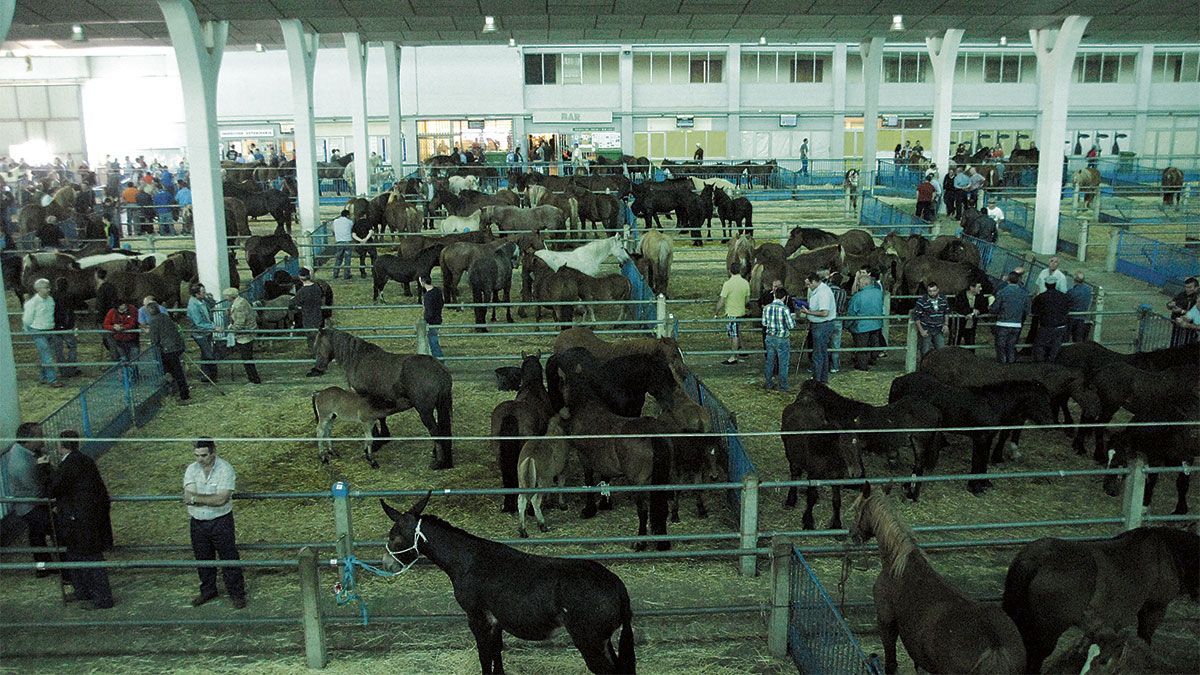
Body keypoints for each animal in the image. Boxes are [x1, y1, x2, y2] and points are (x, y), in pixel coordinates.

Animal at [312, 326, 451, 468]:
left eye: (318, 345)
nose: (318, 368)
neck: (359, 358)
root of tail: (440, 370)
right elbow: (382, 418)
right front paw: (383, 437)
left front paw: (374, 446)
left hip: (424, 411)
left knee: (434, 431)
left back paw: (438, 462)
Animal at [381, 492, 638, 667]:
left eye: (394, 538)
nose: (385, 564)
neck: (466, 560)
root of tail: (618, 588)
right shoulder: (495, 621)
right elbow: (497, 656)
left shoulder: (477, 618)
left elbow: (486, 658)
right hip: (603, 640)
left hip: (589, 640)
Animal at [849, 482, 1027, 672]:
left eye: (857, 509)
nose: (852, 533)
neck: (898, 566)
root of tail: (994, 646)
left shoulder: (886, 623)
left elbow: (891, 662)